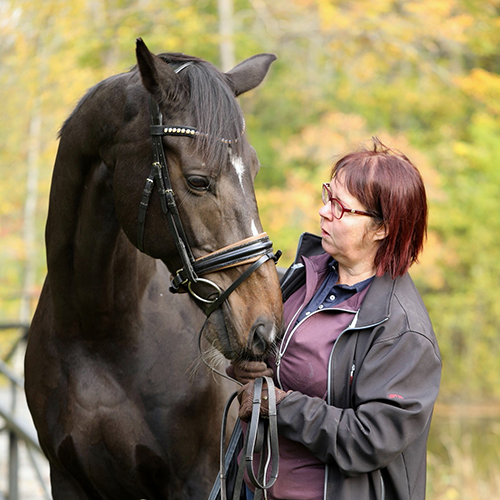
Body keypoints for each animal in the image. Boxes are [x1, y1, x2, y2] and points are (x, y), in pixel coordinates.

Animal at [25, 39, 284, 500]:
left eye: (253, 169)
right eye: (198, 181)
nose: (265, 326)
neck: (97, 332)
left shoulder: (198, 479)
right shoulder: (67, 479)